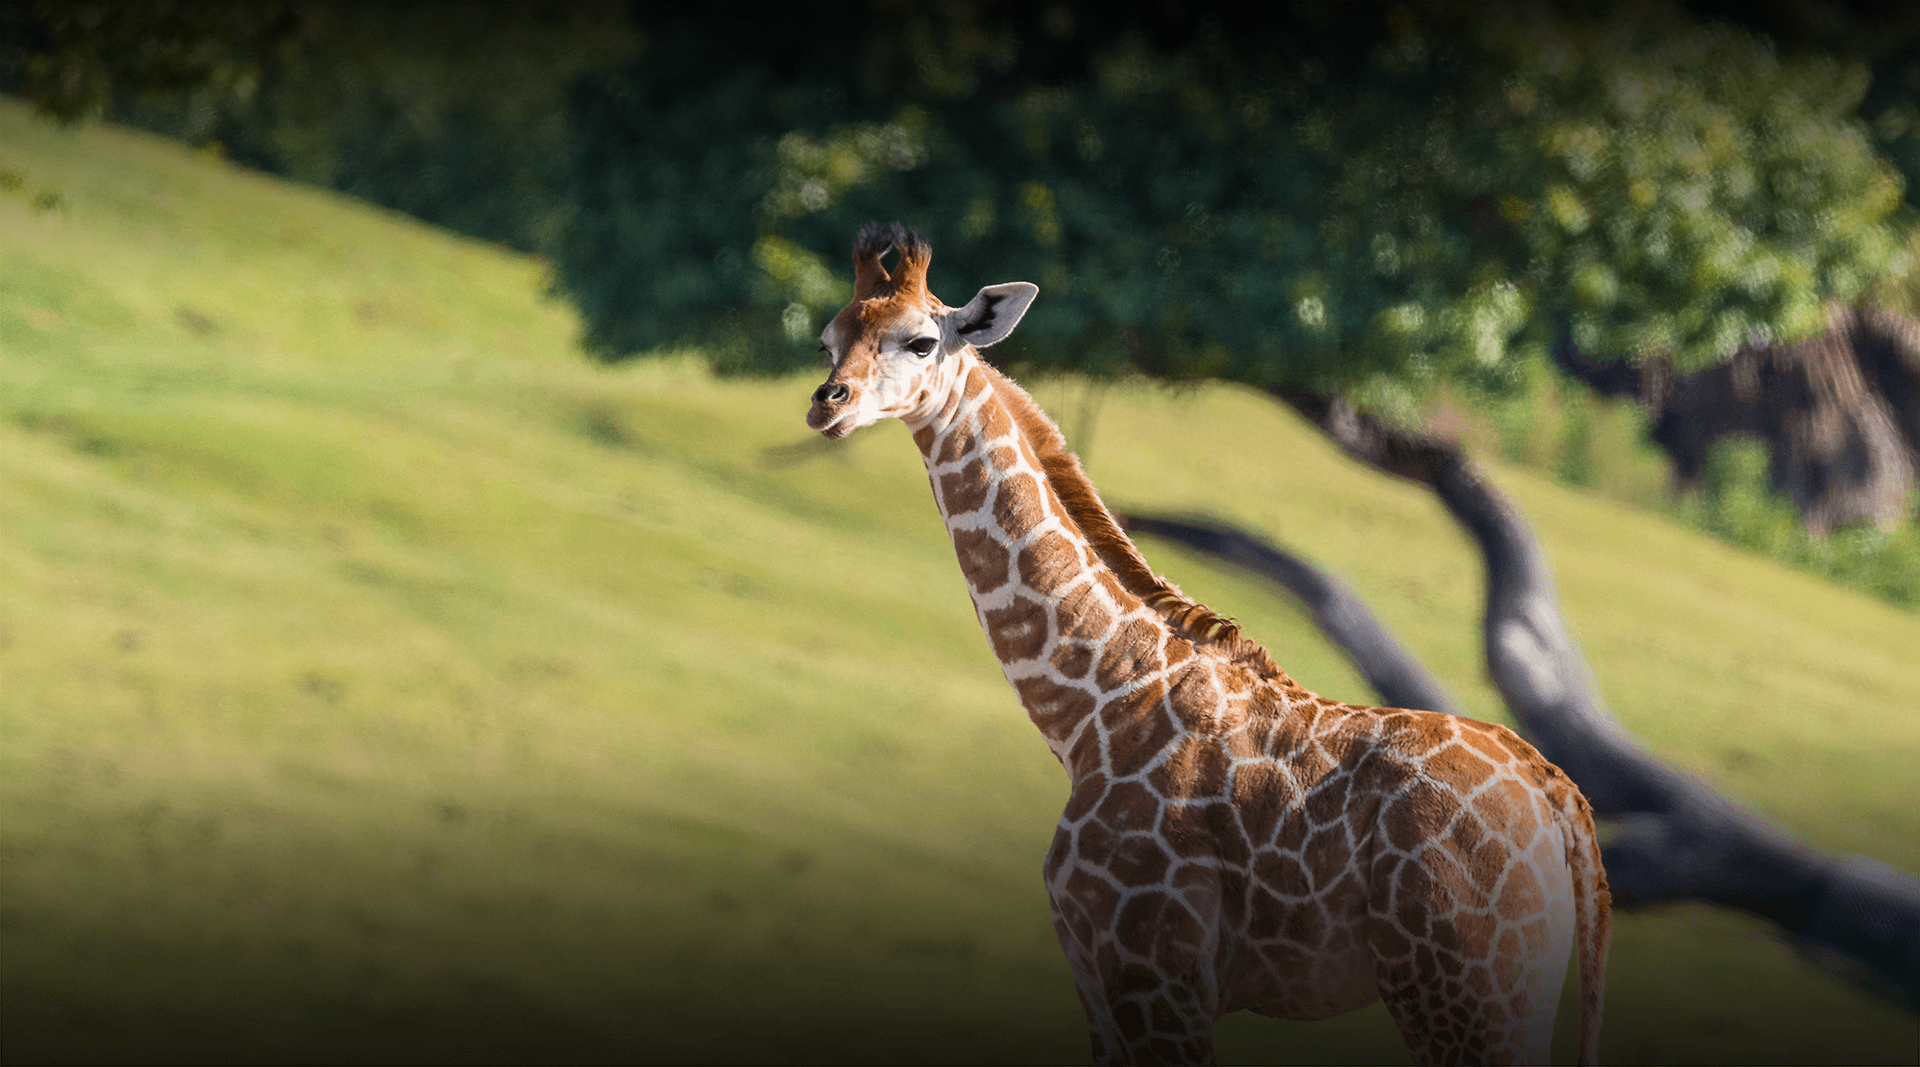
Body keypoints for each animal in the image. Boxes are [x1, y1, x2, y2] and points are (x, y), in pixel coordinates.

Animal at [802, 220, 1612, 1059]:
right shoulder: (1102, 983)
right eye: (827, 338)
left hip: (1461, 995)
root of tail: (1565, 807)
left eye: (922, 340)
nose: (828, 404)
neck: (1094, 709)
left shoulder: (1157, 972)